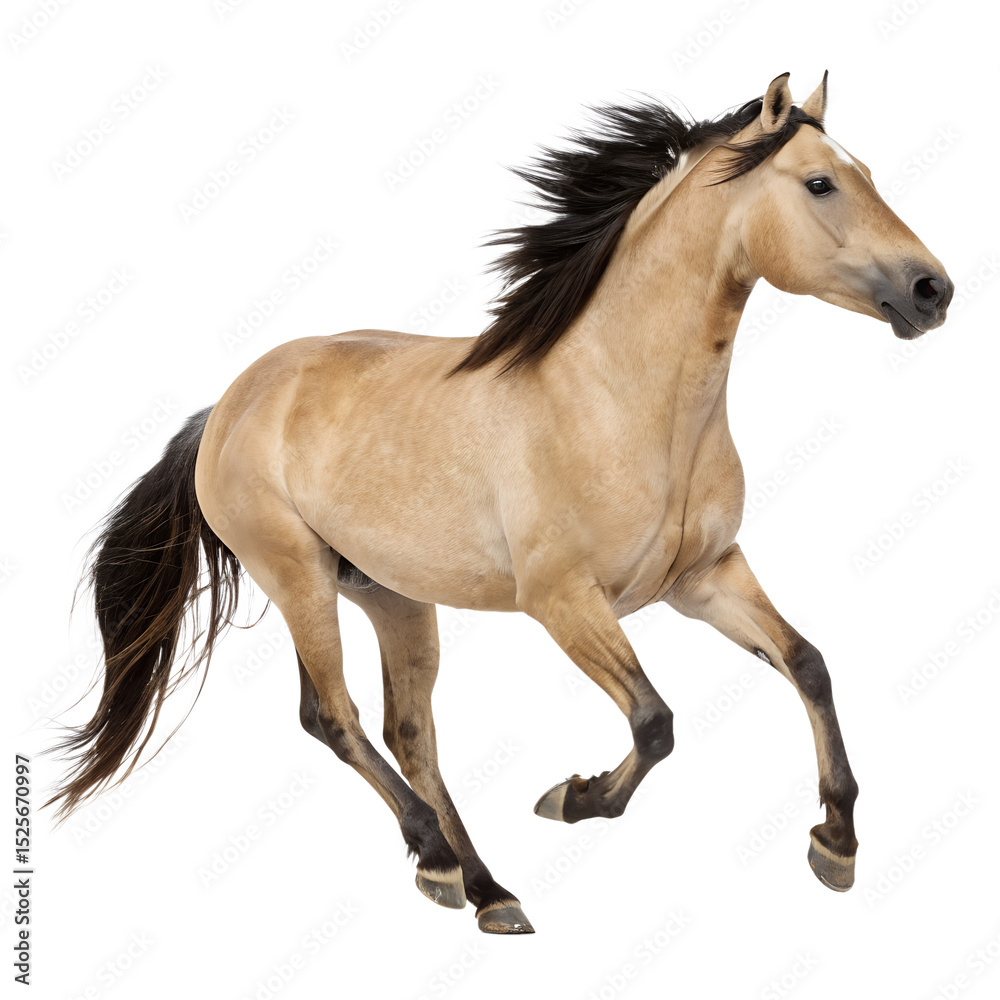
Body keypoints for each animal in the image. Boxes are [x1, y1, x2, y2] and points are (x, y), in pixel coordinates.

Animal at [47, 71, 953, 935]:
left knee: (408, 731)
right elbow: (655, 721)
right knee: (332, 717)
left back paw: (483, 890)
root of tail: (228, 406)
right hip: (297, 576)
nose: (932, 290)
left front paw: (835, 843)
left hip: (391, 596)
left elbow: (808, 663)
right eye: (819, 184)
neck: (623, 397)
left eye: (867, 174)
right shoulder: (563, 601)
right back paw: (437, 857)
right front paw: (574, 797)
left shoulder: (704, 580)